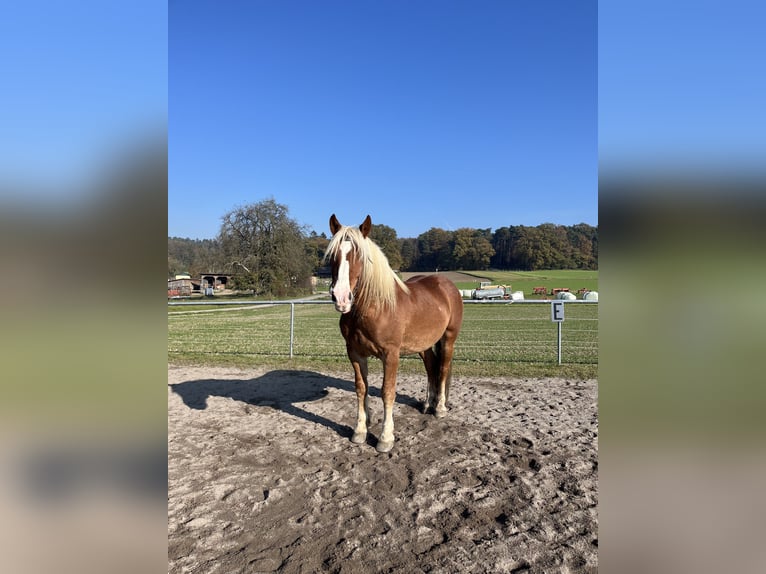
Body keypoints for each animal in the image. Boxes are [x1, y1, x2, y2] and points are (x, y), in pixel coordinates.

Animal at [323, 214, 464, 452]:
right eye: (333, 255)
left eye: (360, 256)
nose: (341, 297)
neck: (374, 307)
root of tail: (447, 286)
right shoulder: (355, 353)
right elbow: (361, 388)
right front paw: (360, 431)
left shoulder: (390, 355)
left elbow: (387, 392)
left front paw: (385, 438)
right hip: (424, 345)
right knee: (431, 368)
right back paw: (428, 403)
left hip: (448, 339)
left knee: (443, 369)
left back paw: (440, 408)